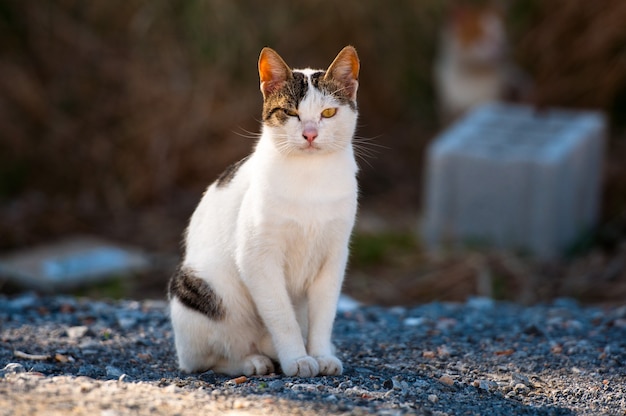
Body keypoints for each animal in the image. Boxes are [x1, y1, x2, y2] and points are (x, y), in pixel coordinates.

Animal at [168, 45, 358, 376]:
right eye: (290, 113)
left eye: (328, 113)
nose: (310, 134)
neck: (311, 178)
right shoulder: (257, 256)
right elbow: (281, 316)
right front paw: (297, 359)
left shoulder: (334, 256)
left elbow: (324, 315)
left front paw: (320, 354)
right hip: (198, 290)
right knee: (201, 361)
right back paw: (251, 362)